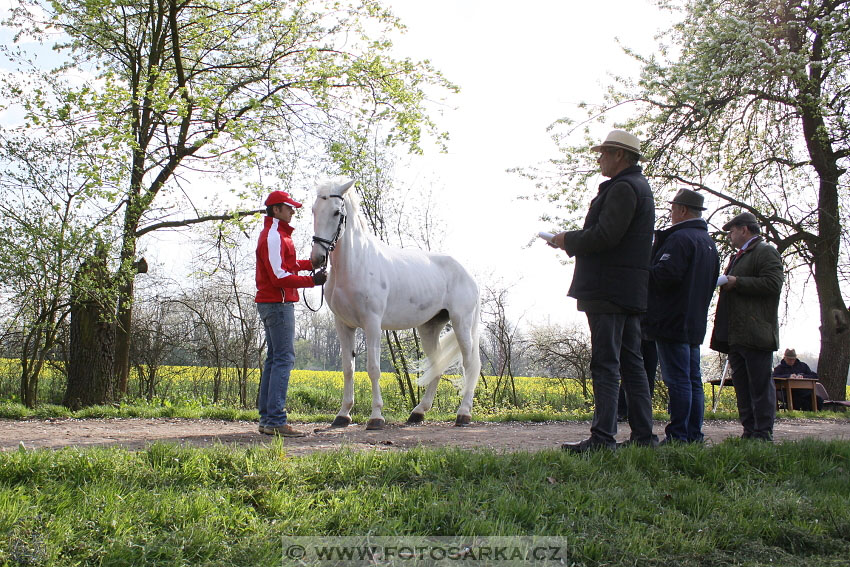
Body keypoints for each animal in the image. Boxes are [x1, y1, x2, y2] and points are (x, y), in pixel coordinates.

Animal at [310, 180, 484, 428]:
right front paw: (343, 415)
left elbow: (373, 369)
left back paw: (463, 413)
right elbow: (348, 369)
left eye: (336, 212)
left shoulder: (372, 324)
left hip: (462, 324)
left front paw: (376, 417)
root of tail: (469, 275)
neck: (356, 264)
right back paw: (418, 412)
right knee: (437, 366)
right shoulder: (343, 325)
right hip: (429, 328)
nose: (317, 259)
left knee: (470, 365)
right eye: (314, 210)